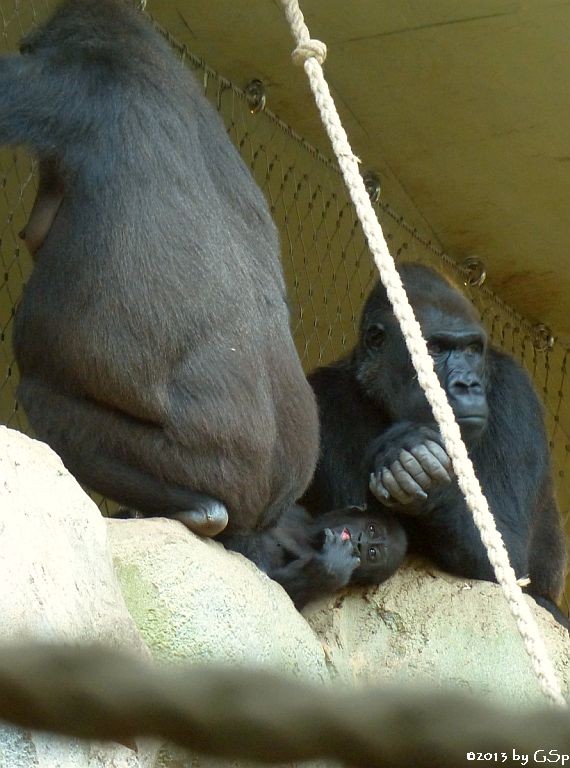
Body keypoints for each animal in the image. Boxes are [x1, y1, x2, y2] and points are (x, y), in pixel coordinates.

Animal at [302, 262, 564, 624]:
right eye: (435, 349)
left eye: (472, 350)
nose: (468, 384)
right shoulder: (324, 396)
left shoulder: (515, 391)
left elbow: (506, 557)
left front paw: (416, 467)